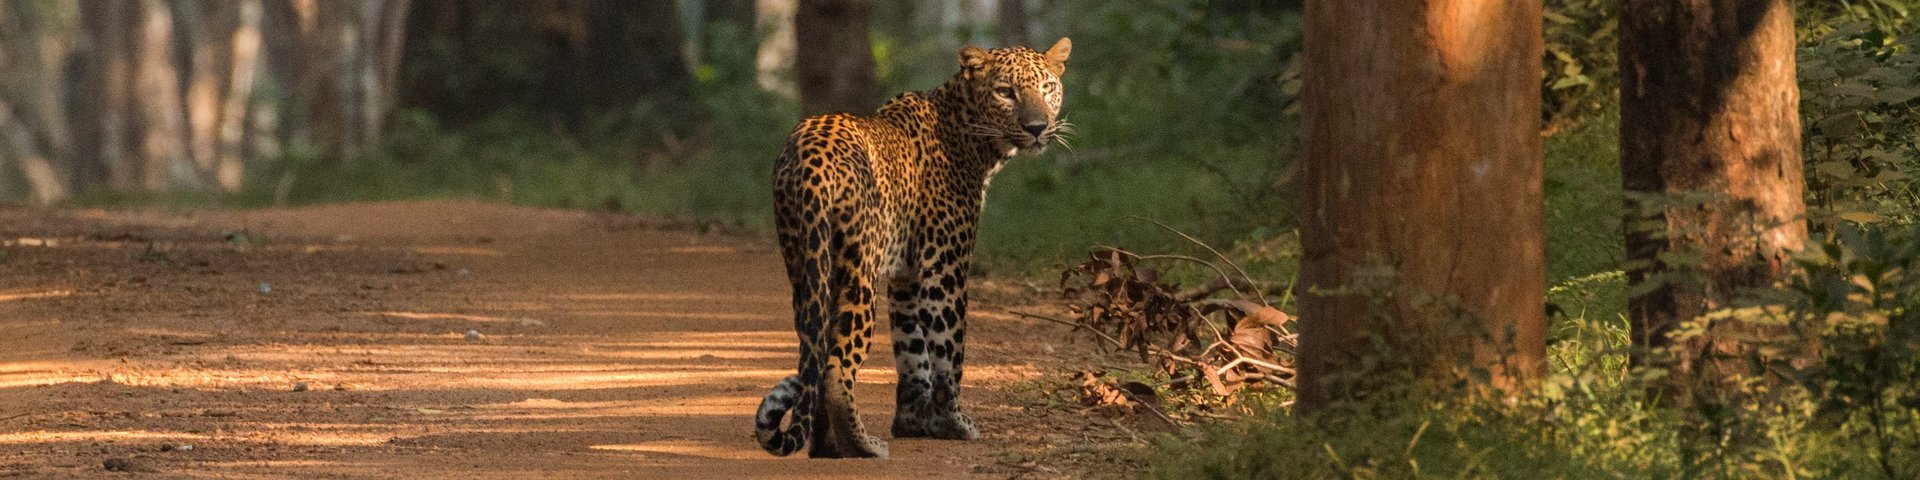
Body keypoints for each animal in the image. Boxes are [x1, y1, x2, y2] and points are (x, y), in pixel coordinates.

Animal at [753, 38, 1072, 459]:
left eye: (1048, 88)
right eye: (1006, 92)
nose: (1036, 128)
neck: (970, 137)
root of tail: (810, 155)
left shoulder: (905, 276)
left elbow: (912, 352)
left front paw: (913, 421)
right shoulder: (944, 267)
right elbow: (948, 350)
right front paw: (954, 423)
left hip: (806, 265)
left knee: (815, 352)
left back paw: (826, 445)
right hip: (860, 271)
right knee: (837, 364)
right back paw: (861, 445)